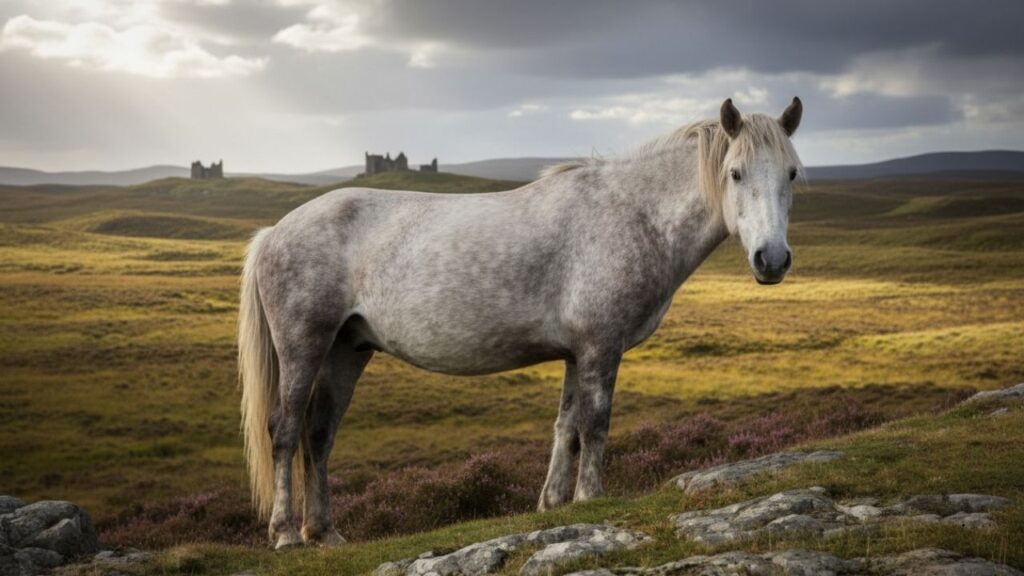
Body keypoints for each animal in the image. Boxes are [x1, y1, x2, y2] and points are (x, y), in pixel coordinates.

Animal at [238, 97, 804, 549]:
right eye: (736, 173)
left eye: (793, 174)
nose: (772, 260)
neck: (632, 215)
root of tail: (273, 232)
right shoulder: (600, 347)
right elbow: (595, 425)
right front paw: (590, 499)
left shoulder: (578, 353)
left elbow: (566, 428)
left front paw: (553, 504)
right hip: (304, 347)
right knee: (285, 430)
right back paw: (286, 534)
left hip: (345, 351)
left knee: (319, 435)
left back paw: (324, 533)